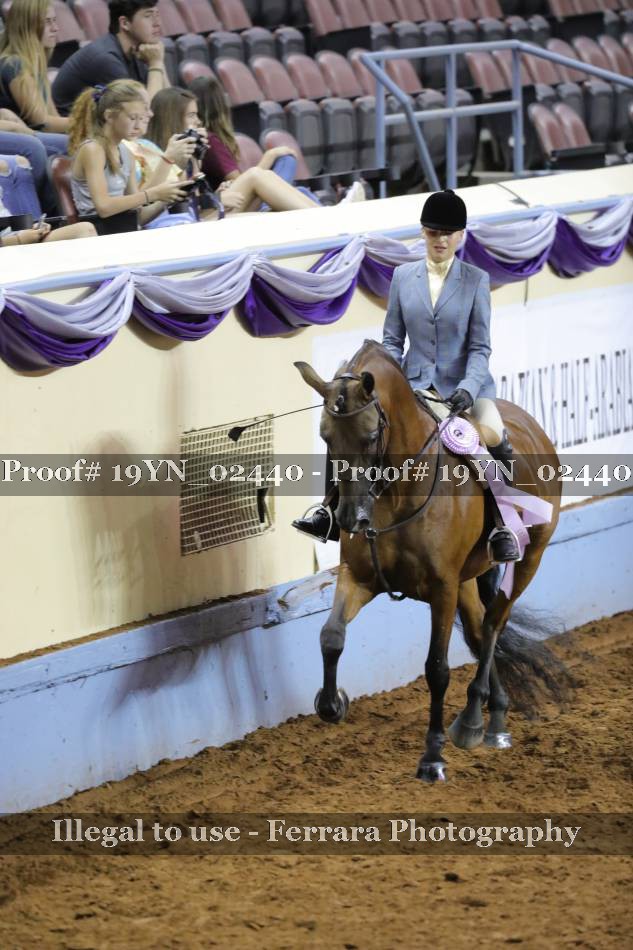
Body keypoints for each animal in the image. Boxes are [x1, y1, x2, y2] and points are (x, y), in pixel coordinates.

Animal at [295, 339, 568, 783]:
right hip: (468, 580)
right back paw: (495, 722)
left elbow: (437, 670)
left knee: (493, 625)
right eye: (326, 437)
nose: (353, 518)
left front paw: (432, 758)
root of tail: (532, 424)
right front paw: (332, 703)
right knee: (478, 630)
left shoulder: (441, 589)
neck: (395, 494)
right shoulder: (359, 577)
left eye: (371, 435)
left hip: (530, 558)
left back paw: (472, 721)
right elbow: (331, 635)